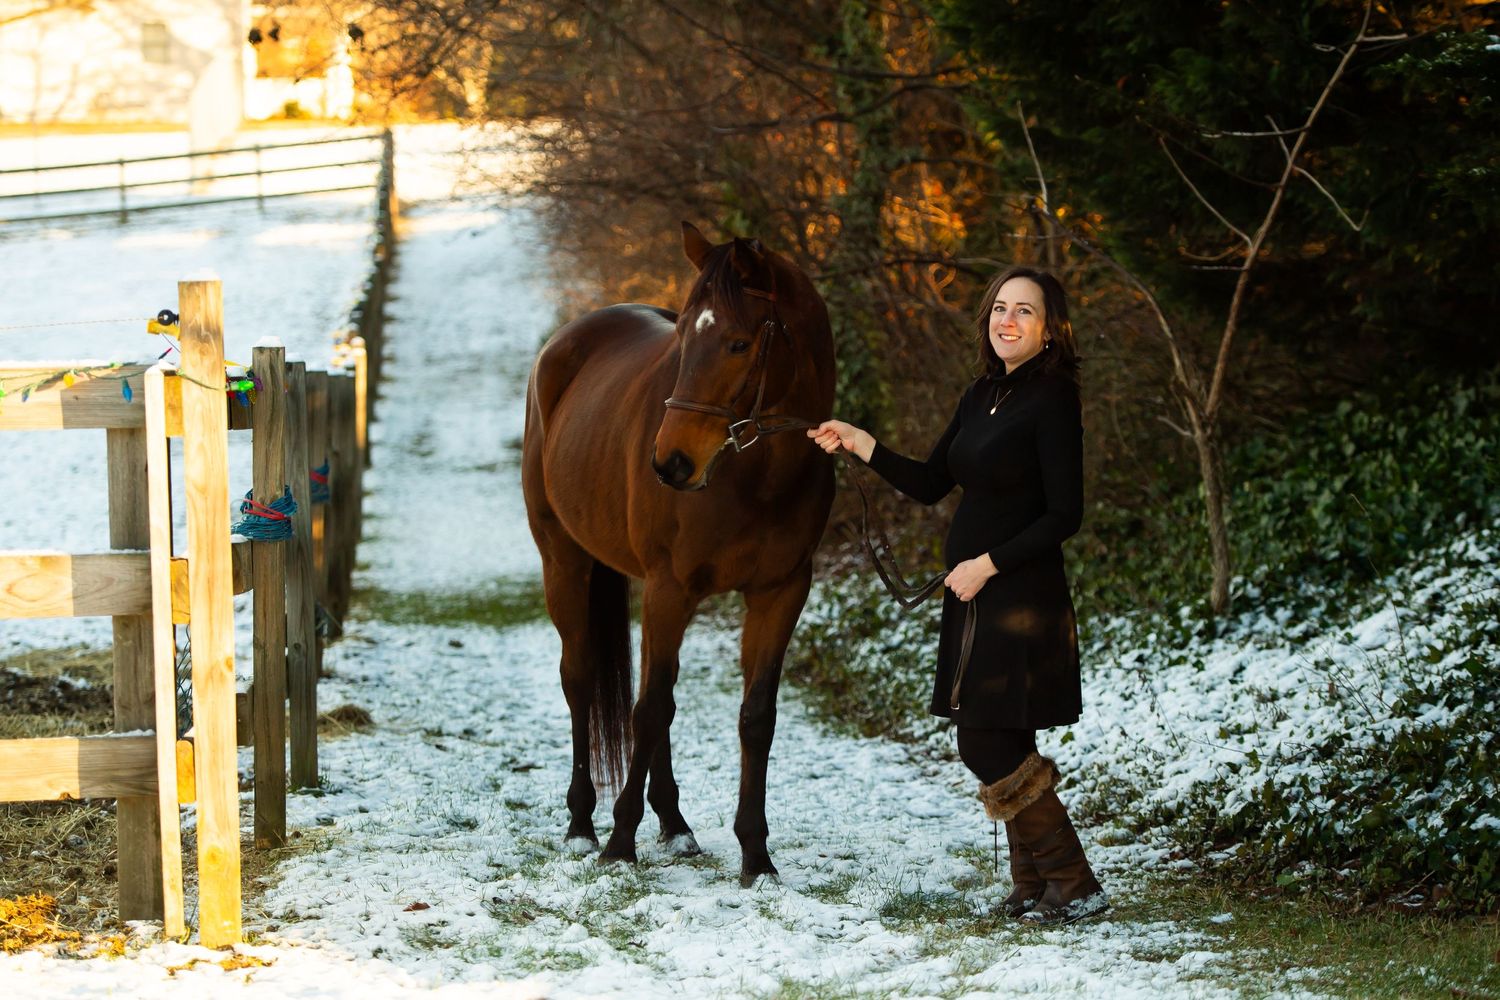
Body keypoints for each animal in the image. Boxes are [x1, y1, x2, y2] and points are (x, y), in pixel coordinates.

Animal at [521, 222, 835, 886]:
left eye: (739, 343)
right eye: (685, 342)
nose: (670, 464)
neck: (757, 476)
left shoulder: (780, 593)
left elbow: (753, 716)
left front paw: (756, 857)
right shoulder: (671, 587)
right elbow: (647, 710)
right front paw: (619, 842)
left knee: (653, 694)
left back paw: (674, 824)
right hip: (565, 562)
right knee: (584, 681)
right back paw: (583, 825)